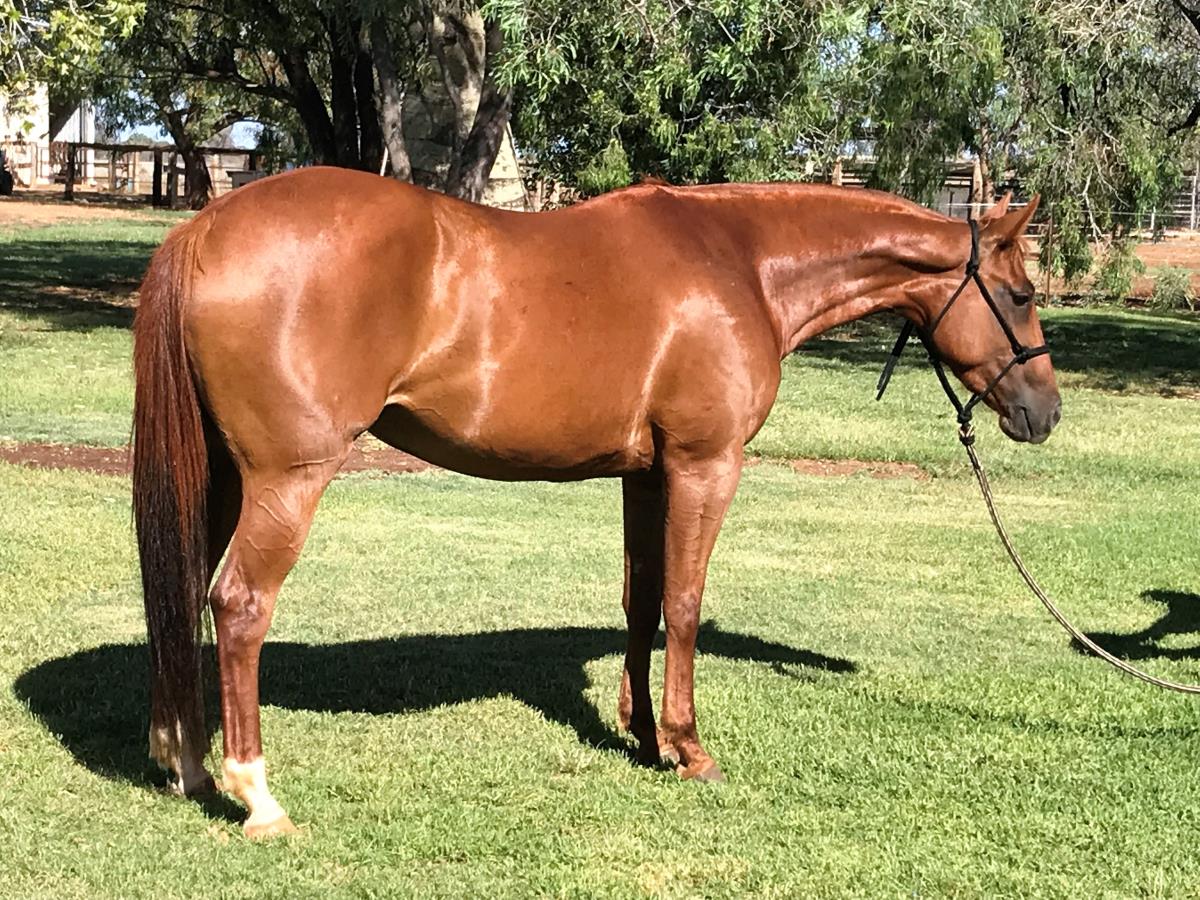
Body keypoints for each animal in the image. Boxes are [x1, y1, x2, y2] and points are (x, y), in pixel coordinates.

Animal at [132, 168, 1060, 837]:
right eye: (1020, 296)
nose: (1044, 412)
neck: (743, 263)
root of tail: (204, 227)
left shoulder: (645, 474)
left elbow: (640, 601)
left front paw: (643, 735)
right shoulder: (705, 465)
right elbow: (684, 602)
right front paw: (690, 748)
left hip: (219, 476)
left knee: (181, 595)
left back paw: (183, 762)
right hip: (287, 480)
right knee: (239, 604)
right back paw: (257, 795)